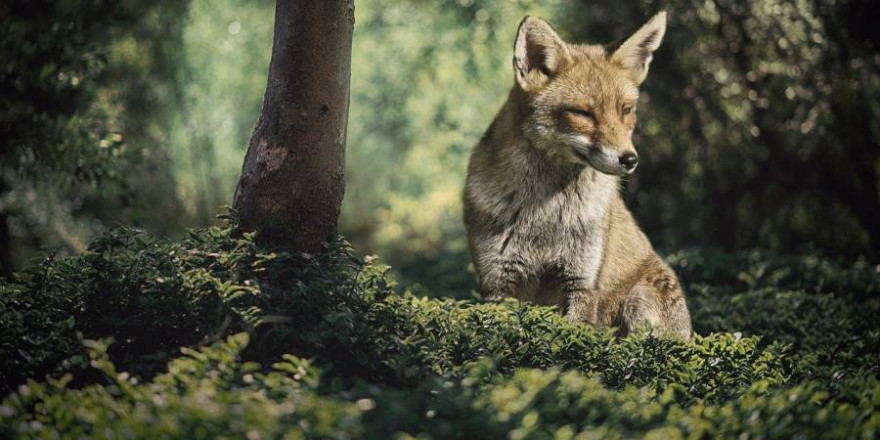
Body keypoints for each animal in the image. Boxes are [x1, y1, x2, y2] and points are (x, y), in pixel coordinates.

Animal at [464, 12, 692, 338]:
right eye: (582, 113)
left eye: (626, 110)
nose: (630, 160)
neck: (544, 214)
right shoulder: (498, 283)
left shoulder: (582, 281)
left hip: (638, 302)